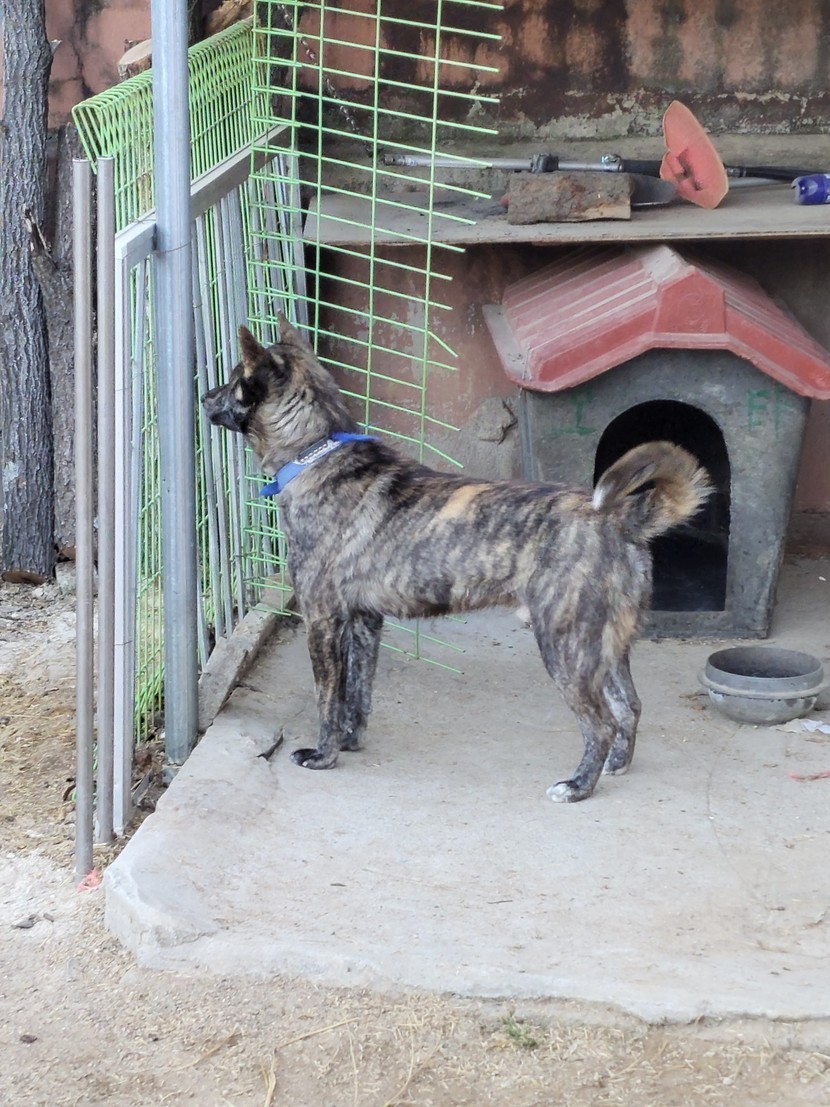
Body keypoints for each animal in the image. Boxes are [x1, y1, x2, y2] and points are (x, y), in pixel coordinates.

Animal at [202, 318, 712, 802]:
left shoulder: (323, 620)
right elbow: (357, 696)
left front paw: (323, 755)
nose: (203, 395)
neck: (315, 452)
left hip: (565, 646)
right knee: (630, 707)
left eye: (233, 379)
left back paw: (578, 786)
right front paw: (349, 741)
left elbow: (328, 697)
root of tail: (619, 517)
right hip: (606, 646)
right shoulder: (365, 622)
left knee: (601, 722)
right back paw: (614, 767)